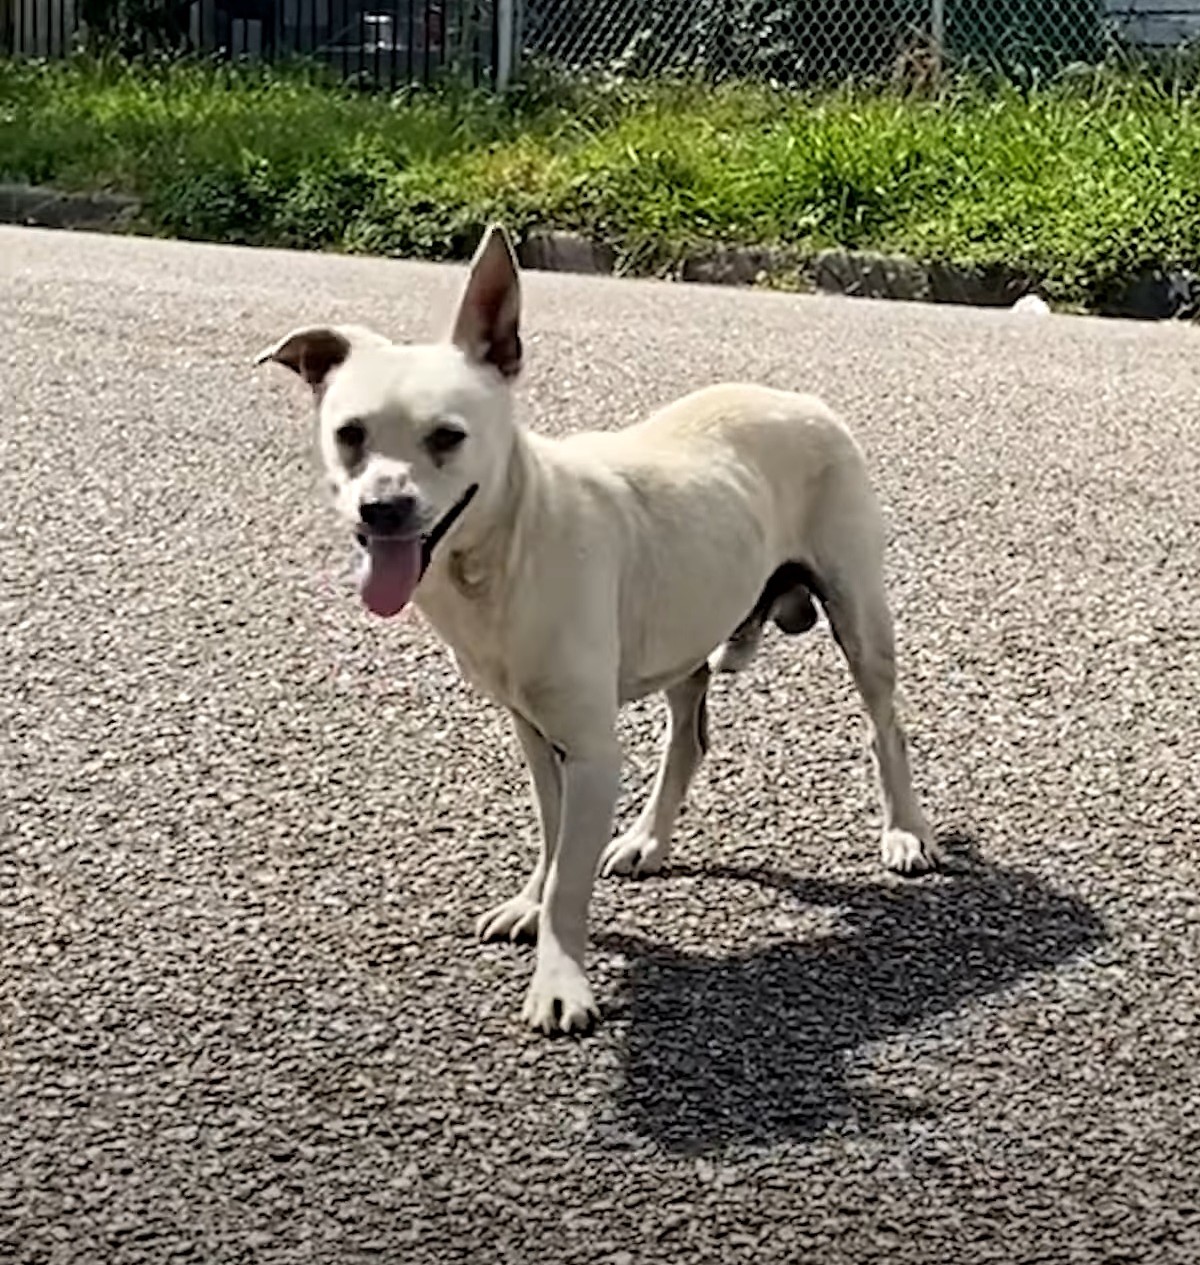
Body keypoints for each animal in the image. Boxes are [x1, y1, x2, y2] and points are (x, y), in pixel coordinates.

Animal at [260, 225, 935, 1037]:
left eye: (447, 436)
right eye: (350, 435)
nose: (382, 508)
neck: (506, 550)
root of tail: (799, 396)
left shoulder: (590, 751)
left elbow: (569, 881)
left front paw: (560, 981)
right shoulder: (536, 733)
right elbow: (553, 843)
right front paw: (531, 904)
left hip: (860, 614)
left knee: (886, 726)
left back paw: (905, 831)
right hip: (687, 623)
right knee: (690, 735)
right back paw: (648, 838)